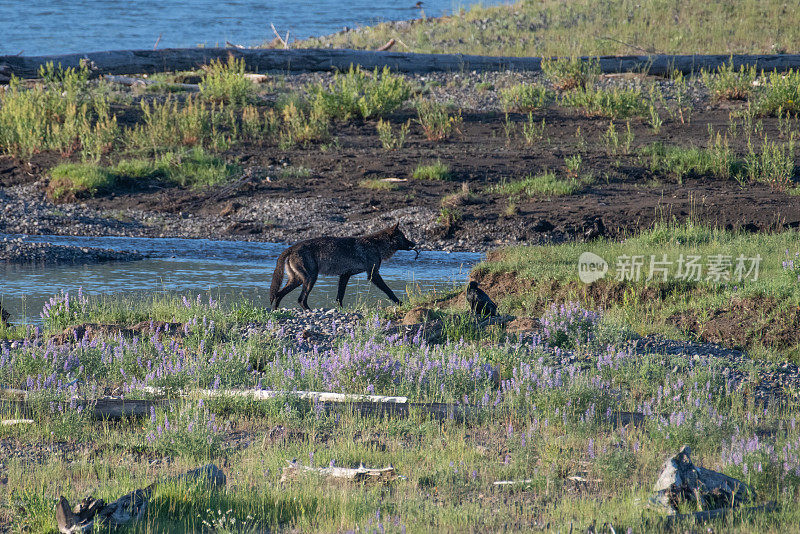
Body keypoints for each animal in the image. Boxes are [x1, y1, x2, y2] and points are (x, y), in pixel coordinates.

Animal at [270, 225, 416, 310]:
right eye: (404, 237)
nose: (414, 243)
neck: (376, 245)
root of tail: (291, 248)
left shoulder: (345, 275)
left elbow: (340, 296)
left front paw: (340, 309)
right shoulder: (373, 275)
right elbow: (389, 291)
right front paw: (400, 303)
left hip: (298, 280)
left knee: (278, 294)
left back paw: (275, 311)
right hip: (310, 279)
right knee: (300, 299)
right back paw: (309, 311)